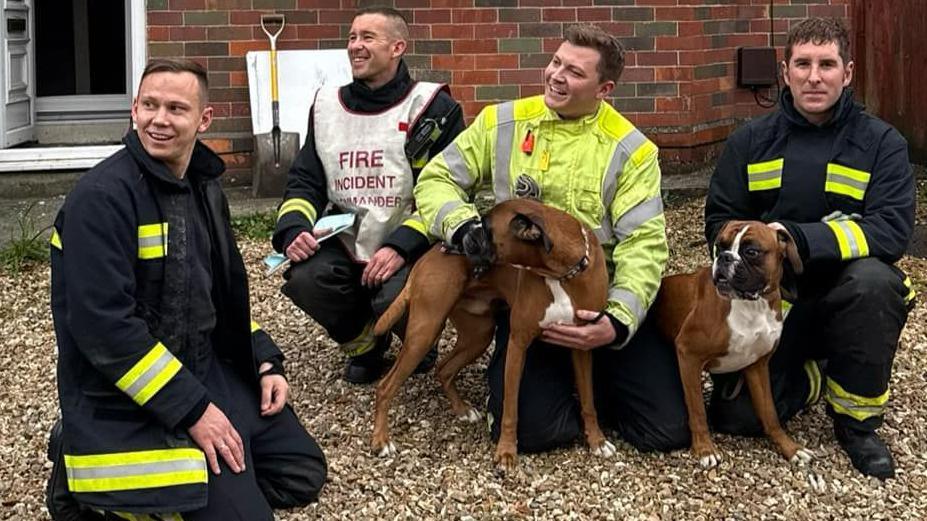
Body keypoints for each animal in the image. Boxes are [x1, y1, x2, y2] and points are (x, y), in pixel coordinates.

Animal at [652, 218, 812, 468]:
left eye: (752, 251)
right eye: (720, 246)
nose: (725, 257)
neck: (752, 305)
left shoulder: (757, 366)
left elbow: (770, 413)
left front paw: (790, 447)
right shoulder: (688, 355)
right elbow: (697, 410)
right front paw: (705, 449)